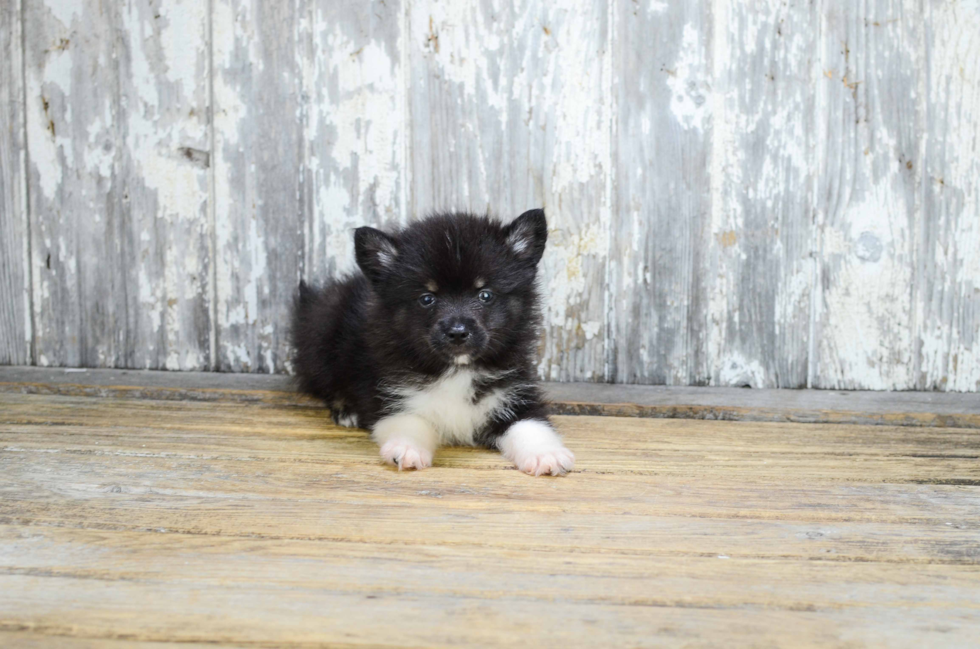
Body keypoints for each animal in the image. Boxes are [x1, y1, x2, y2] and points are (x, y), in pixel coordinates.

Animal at [294, 209, 580, 476]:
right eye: (426, 298)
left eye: (485, 294)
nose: (457, 332)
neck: (456, 369)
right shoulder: (390, 394)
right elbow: (409, 422)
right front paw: (407, 448)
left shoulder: (515, 391)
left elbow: (531, 424)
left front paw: (545, 454)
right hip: (321, 332)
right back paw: (346, 409)